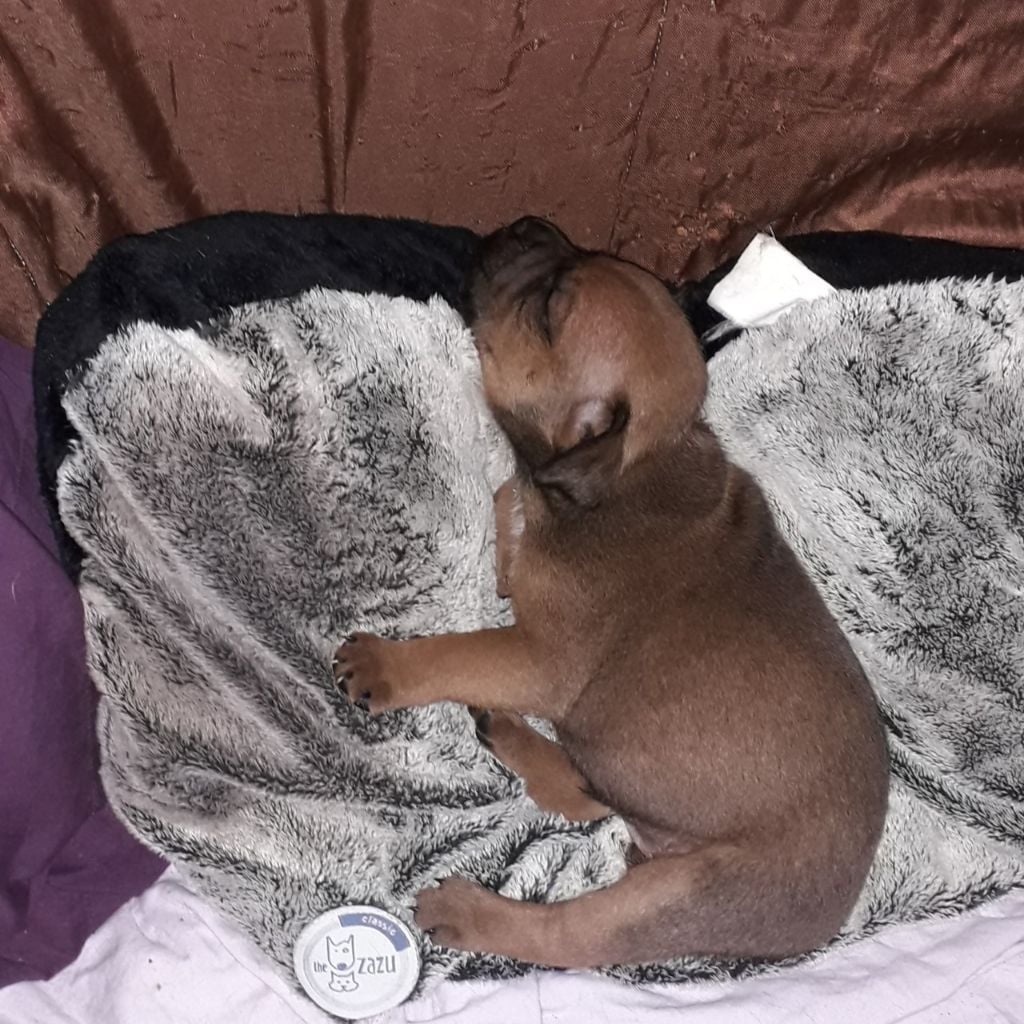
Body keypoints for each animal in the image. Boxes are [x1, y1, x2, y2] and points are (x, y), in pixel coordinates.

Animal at [334, 217, 890, 968]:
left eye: (549, 307)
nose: (531, 224)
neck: (636, 469)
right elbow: (506, 506)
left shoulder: (537, 657)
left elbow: (455, 652)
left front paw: (385, 665)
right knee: (589, 794)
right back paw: (514, 737)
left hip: (672, 894)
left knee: (566, 932)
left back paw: (470, 910)